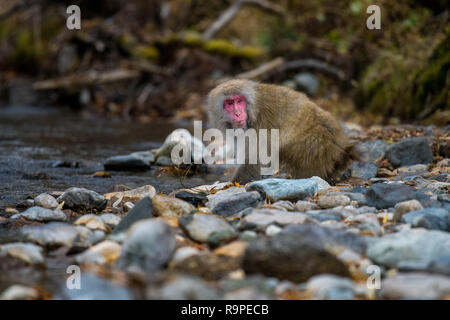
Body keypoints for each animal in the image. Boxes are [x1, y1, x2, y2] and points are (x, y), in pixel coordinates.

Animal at [207, 79, 358, 184]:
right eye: (229, 103)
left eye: (239, 101)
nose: (238, 113)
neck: (253, 111)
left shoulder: (262, 125)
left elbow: (257, 159)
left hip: (314, 149)